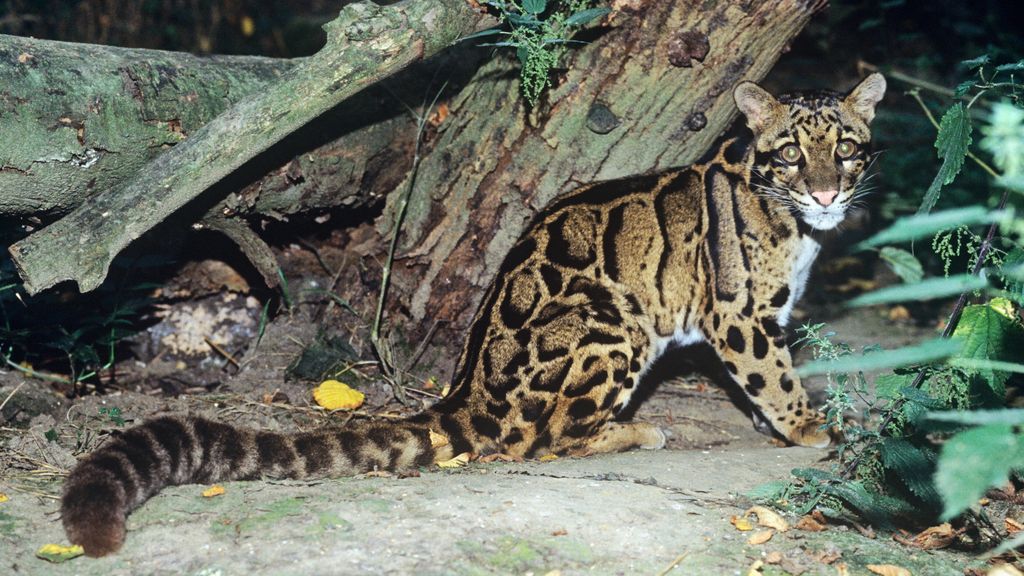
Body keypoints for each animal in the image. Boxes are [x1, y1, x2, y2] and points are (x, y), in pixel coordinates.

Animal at [60, 72, 886, 556]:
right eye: (790, 154)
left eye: (846, 148)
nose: (825, 192)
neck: (793, 220)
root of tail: (468, 394)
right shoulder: (737, 313)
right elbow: (775, 375)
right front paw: (808, 427)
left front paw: (777, 423)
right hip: (609, 318)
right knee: (540, 440)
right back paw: (632, 430)